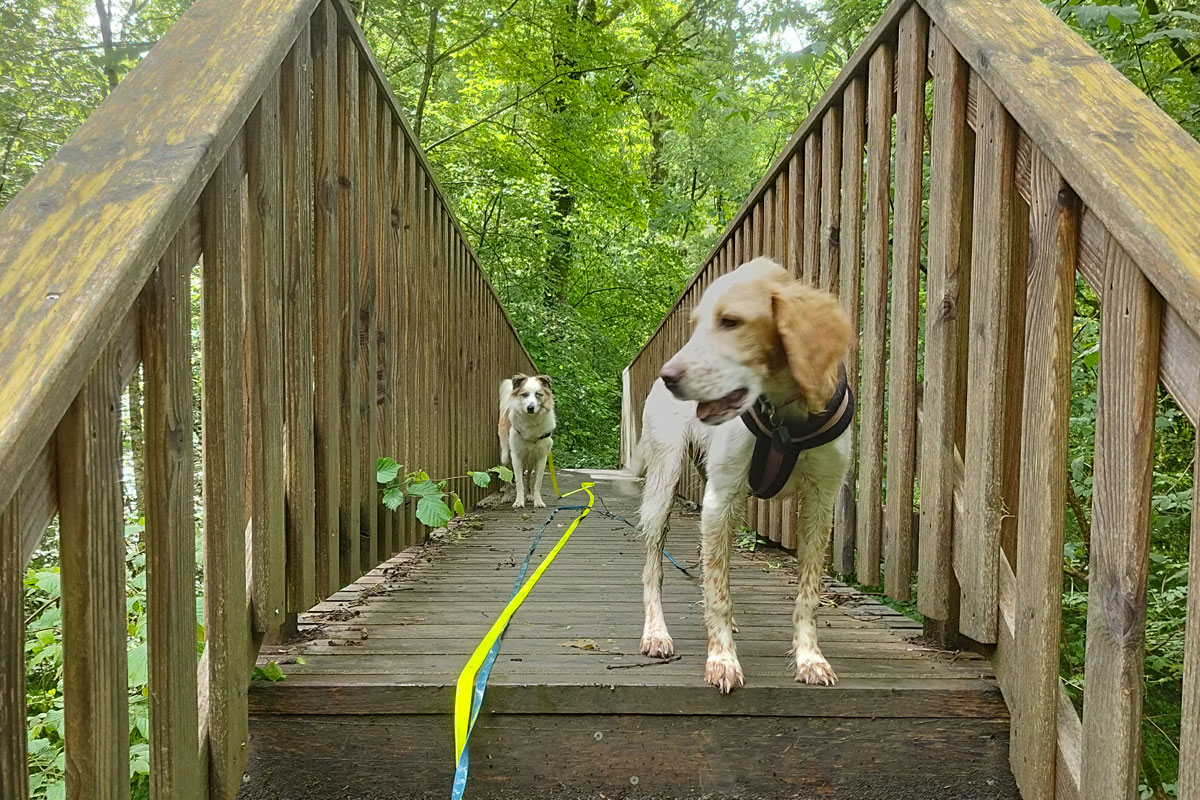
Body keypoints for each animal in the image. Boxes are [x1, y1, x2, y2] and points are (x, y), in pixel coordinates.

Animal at [494, 374, 554, 506]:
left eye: (538, 394)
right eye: (524, 394)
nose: (530, 408)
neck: (531, 421)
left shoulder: (541, 457)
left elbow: (537, 482)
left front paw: (538, 501)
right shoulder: (516, 456)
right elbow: (518, 482)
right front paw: (518, 502)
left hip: (530, 460)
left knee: (528, 477)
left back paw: (529, 495)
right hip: (506, 456)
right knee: (508, 476)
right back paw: (507, 496)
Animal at [638, 257, 854, 695]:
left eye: (731, 322)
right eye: (697, 325)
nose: (669, 376)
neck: (785, 414)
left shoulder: (820, 501)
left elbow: (807, 593)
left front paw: (811, 658)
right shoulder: (721, 498)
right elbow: (719, 593)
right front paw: (722, 660)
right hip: (663, 485)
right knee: (654, 568)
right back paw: (656, 634)